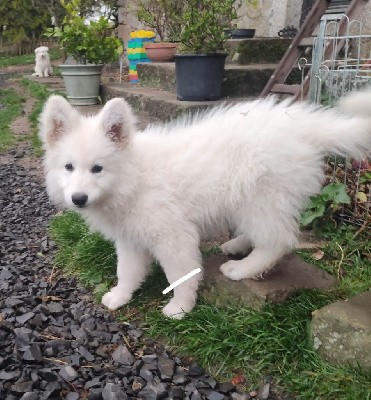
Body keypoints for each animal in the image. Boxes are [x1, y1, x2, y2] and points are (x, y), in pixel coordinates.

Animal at [38, 90, 371, 318]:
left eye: (97, 168)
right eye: (68, 167)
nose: (78, 199)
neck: (132, 178)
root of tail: (301, 126)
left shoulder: (173, 236)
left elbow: (180, 275)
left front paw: (180, 307)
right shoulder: (130, 238)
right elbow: (127, 271)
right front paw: (120, 296)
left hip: (261, 197)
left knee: (278, 241)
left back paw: (243, 269)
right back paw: (237, 245)